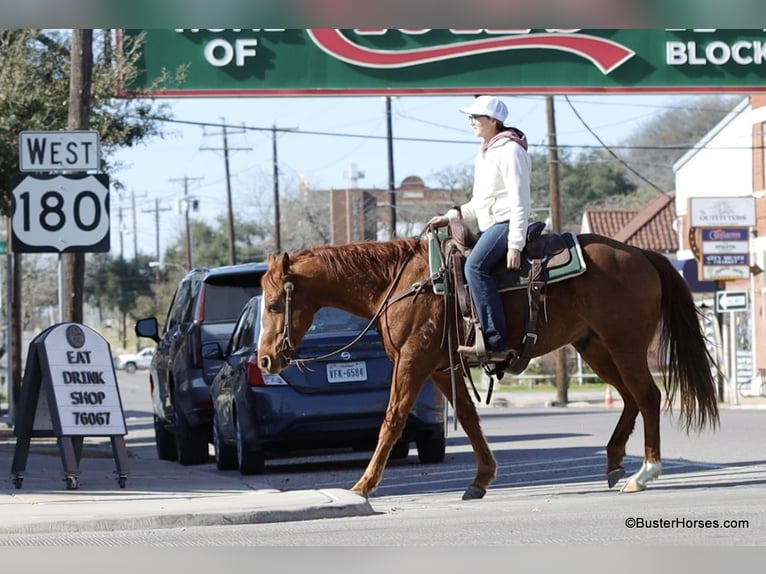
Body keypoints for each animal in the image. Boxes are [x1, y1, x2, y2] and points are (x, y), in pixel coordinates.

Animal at [256, 233, 720, 500]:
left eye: (276, 304)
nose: (265, 358)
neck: (400, 283)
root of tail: (640, 254)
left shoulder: (413, 361)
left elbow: (392, 420)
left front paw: (362, 486)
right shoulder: (441, 368)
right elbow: (467, 415)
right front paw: (481, 479)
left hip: (623, 344)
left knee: (648, 396)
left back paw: (645, 472)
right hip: (595, 348)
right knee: (629, 398)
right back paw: (613, 463)